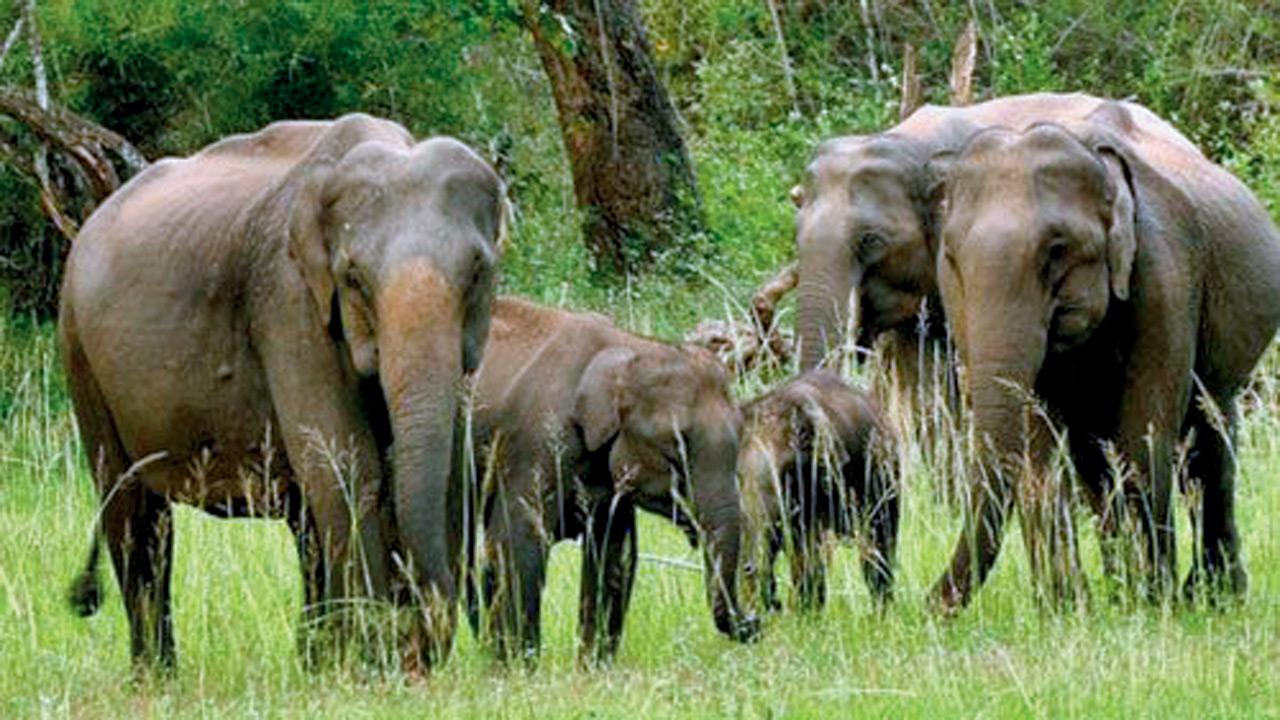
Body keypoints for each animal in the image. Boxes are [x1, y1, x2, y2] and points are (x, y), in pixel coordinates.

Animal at [59, 113, 505, 669]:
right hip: (80, 353)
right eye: (353, 278)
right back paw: (158, 677)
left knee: (297, 523)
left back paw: (312, 661)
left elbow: (444, 465)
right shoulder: (288, 302)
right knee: (134, 515)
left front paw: (369, 659)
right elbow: (346, 464)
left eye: (477, 272)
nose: (414, 638)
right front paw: (373, 663)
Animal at [463, 297, 761, 665]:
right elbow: (516, 544)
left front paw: (594, 667)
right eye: (674, 449)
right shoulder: (535, 445)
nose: (755, 621)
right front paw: (520, 667)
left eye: (740, 440)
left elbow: (615, 555)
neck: (630, 346)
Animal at [926, 105, 1280, 612]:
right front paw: (1067, 610)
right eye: (952, 258)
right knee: (1095, 458)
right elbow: (1039, 450)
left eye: (1056, 251)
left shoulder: (1167, 275)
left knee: (1207, 442)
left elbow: (1143, 432)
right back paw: (1122, 592)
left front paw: (1154, 605)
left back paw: (1209, 597)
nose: (922, 606)